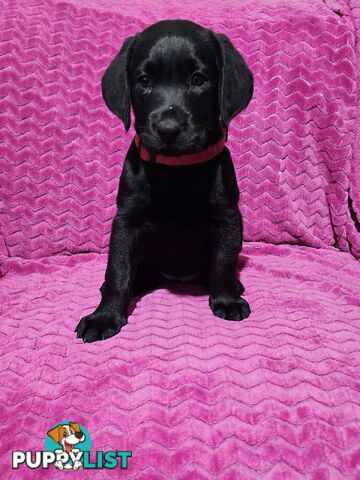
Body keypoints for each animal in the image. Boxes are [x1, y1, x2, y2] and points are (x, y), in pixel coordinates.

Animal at [75, 18, 253, 342]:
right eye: (144, 80)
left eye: (198, 79)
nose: (168, 128)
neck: (177, 169)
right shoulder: (126, 221)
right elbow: (117, 270)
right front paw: (104, 316)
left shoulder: (228, 219)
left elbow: (223, 262)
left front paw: (227, 299)